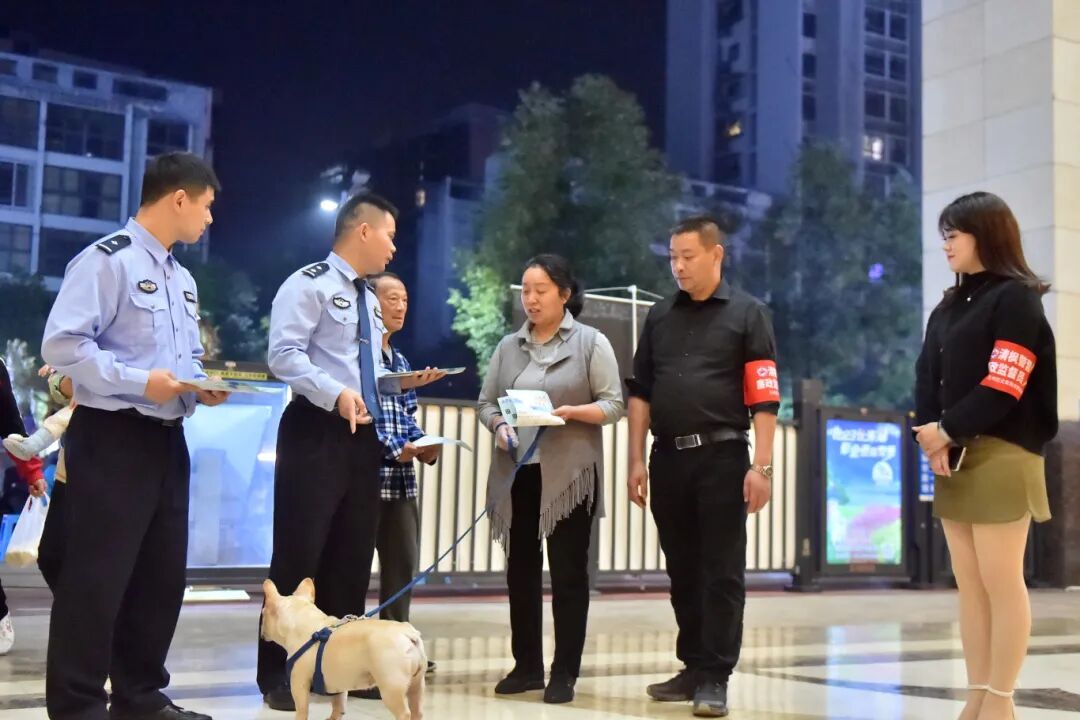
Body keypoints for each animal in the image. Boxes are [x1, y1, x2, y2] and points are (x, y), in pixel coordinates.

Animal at [260, 578, 426, 720]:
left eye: (263, 614)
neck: (301, 619)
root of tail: (408, 634)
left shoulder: (299, 683)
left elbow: (302, 710)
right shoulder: (338, 685)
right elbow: (338, 706)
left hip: (391, 687)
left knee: (404, 713)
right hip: (416, 685)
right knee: (417, 710)